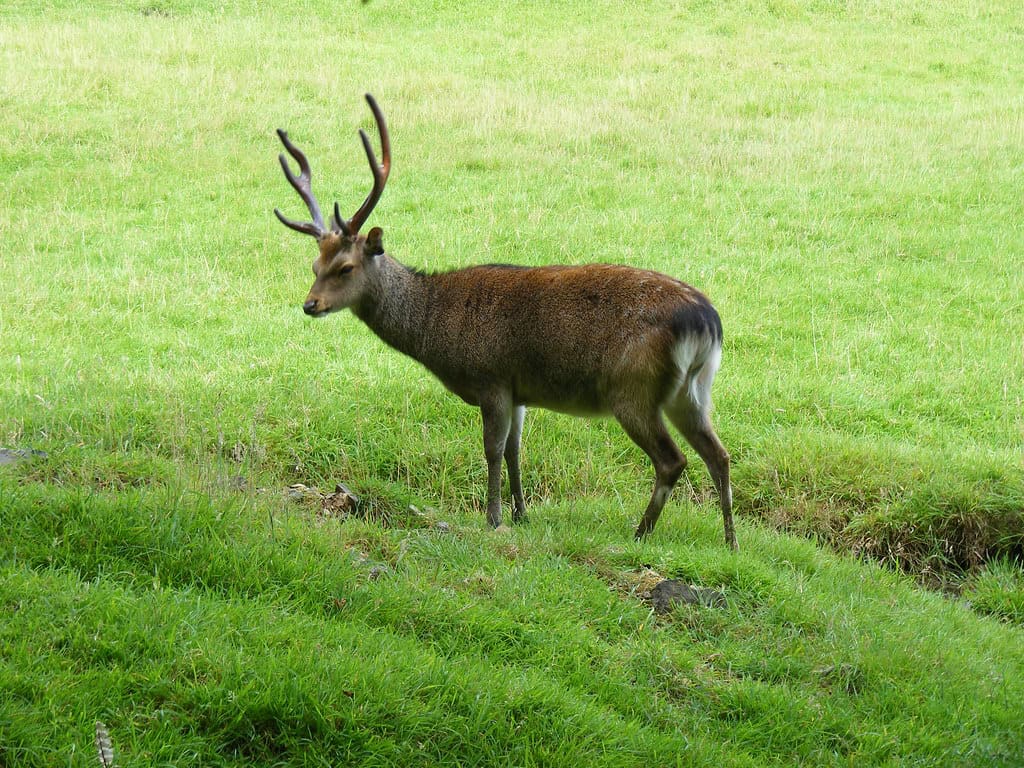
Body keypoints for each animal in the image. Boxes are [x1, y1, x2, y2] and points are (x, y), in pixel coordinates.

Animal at [273, 94, 737, 551]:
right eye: (314, 265)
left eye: (345, 268)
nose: (310, 304)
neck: (436, 330)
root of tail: (707, 321)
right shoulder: (519, 390)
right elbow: (516, 450)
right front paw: (521, 514)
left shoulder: (491, 378)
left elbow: (493, 449)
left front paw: (493, 518)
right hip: (694, 391)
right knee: (718, 454)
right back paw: (730, 542)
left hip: (633, 388)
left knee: (672, 460)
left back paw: (641, 533)